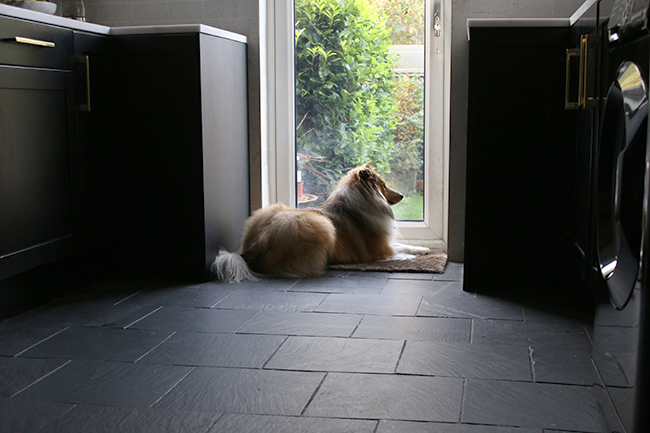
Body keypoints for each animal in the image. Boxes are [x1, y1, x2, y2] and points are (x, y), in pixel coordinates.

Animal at [211, 164, 430, 282]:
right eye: (383, 185)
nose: (401, 195)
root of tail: (253, 249)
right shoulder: (380, 249)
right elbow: (400, 249)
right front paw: (415, 256)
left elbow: (406, 244)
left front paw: (425, 250)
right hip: (322, 224)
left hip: (267, 212)